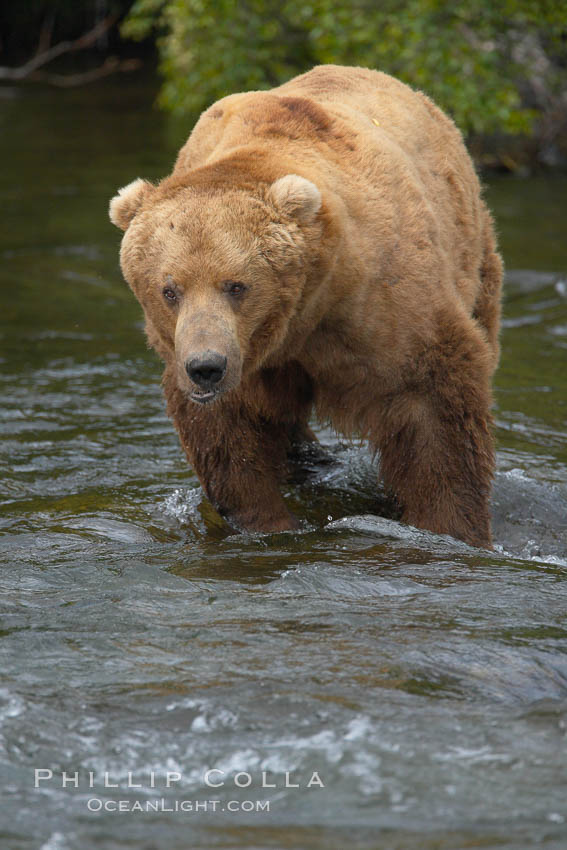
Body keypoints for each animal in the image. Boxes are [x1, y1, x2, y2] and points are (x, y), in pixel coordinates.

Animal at [110, 64, 502, 544]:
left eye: (236, 285)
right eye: (170, 289)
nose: (205, 367)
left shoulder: (386, 306)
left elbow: (435, 410)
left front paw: (450, 527)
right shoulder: (235, 358)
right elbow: (226, 436)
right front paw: (268, 522)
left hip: (472, 250)